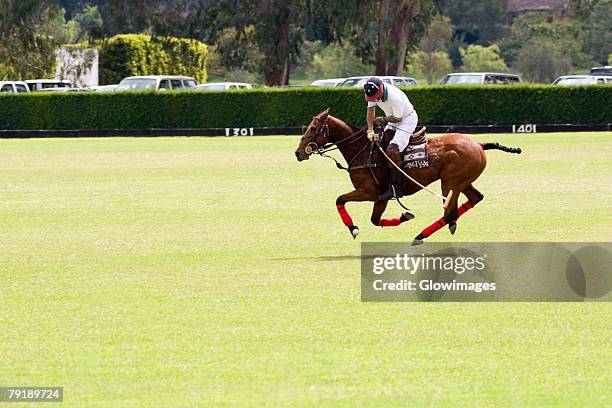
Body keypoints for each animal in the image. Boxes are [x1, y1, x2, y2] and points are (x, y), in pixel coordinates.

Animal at [296, 107, 520, 245]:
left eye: (313, 128)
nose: (298, 153)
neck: (361, 149)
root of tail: (479, 144)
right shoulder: (381, 197)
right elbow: (375, 219)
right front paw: (405, 215)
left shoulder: (370, 191)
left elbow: (339, 199)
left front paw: (353, 228)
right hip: (462, 181)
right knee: (473, 199)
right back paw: (448, 225)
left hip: (450, 182)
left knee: (450, 212)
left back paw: (421, 235)